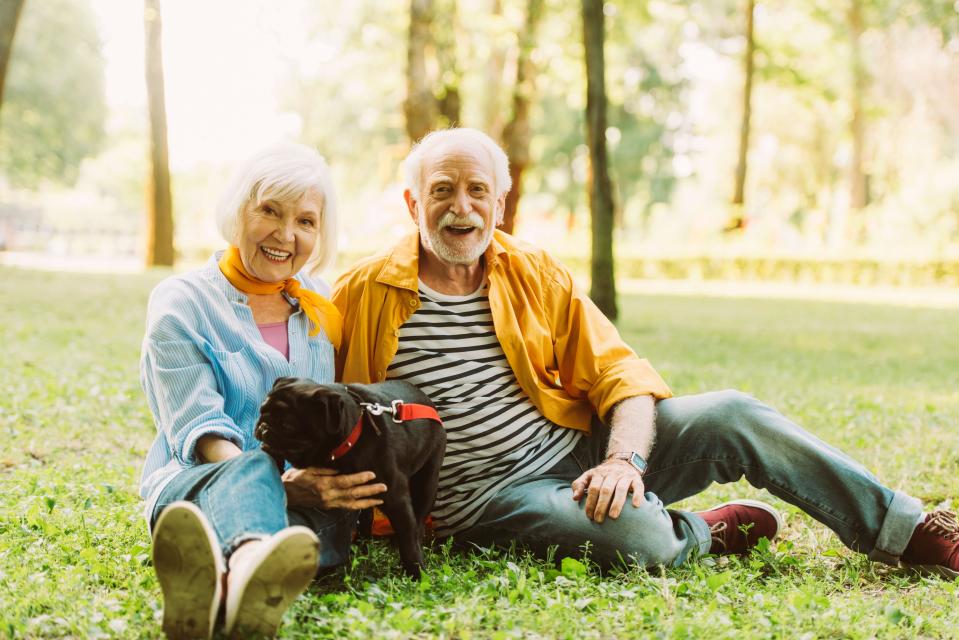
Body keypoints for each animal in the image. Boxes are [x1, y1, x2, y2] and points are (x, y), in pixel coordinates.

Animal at [256, 378, 448, 576]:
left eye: (287, 426)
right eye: (261, 411)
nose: (263, 426)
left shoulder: (397, 500)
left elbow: (408, 539)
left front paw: (417, 572)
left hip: (427, 482)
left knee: (418, 520)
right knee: (367, 518)